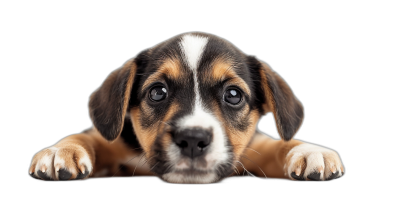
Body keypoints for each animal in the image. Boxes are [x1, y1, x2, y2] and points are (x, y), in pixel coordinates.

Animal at [28, 31, 346, 184]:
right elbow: (88, 136)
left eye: (233, 95)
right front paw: (61, 151)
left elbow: (280, 144)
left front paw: (310, 151)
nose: (193, 139)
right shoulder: (117, 141)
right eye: (158, 92)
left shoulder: (254, 147)